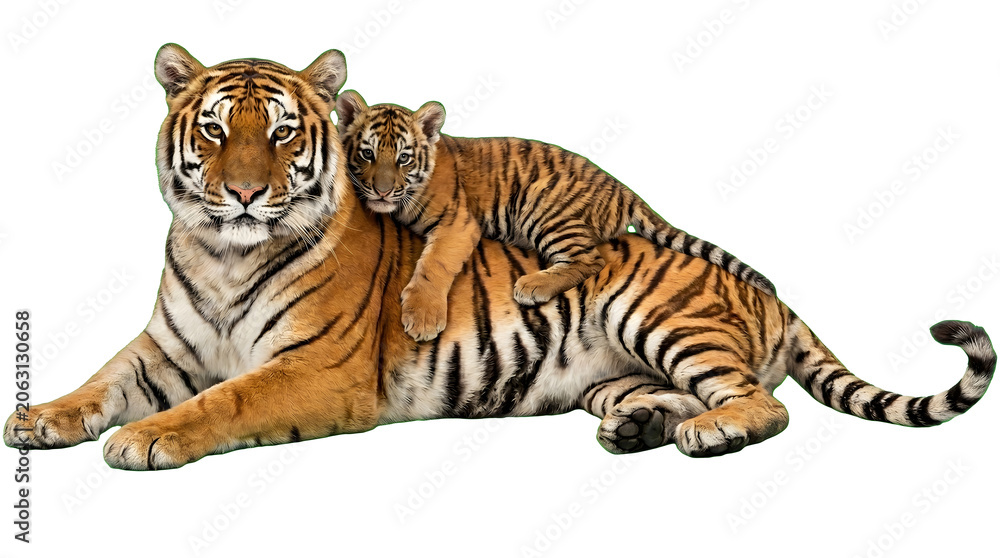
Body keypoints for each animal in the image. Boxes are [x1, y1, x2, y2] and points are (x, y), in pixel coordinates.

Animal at [335, 90, 776, 342]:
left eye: (404, 159)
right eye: (367, 154)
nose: (382, 190)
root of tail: (623, 187)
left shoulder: (458, 223)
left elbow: (434, 265)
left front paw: (423, 317)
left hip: (544, 208)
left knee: (590, 259)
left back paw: (533, 285)